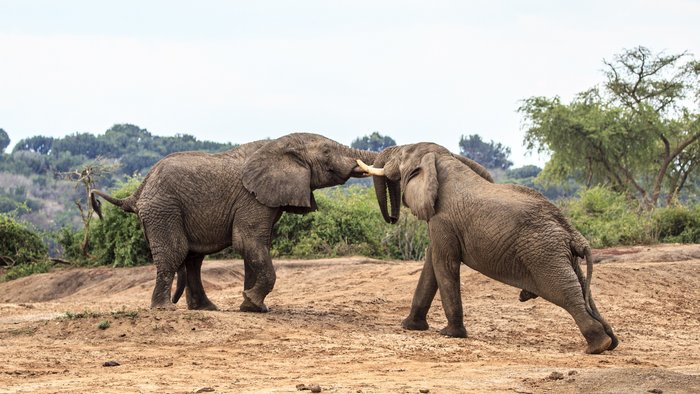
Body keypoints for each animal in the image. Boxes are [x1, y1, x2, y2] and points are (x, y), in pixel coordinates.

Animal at [93, 132, 380, 310]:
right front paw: (253, 303)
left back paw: (206, 308)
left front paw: (252, 307)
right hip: (162, 209)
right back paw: (165, 309)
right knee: (176, 253)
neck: (279, 144)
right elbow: (248, 242)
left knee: (193, 259)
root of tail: (138, 190)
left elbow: (258, 245)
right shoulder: (252, 198)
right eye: (326, 151)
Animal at [360, 142, 616, 354]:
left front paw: (451, 334)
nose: (392, 219)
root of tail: (571, 231)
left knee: (564, 291)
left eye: (401, 155)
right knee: (582, 289)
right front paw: (410, 326)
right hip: (559, 253)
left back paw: (597, 346)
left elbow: (444, 263)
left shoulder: (442, 220)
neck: (443, 160)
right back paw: (610, 342)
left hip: (542, 252)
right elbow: (432, 264)